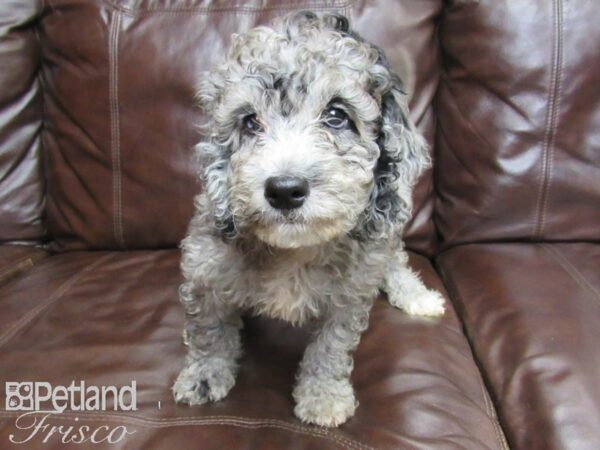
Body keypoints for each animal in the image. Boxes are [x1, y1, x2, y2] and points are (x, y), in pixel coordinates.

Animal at [173, 9, 446, 426]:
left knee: (395, 259)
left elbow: (331, 346)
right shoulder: (206, 268)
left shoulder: (352, 292)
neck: (294, 249)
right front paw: (204, 375)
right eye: (250, 122)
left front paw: (323, 395)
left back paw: (417, 296)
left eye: (336, 116)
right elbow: (209, 328)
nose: (284, 190)